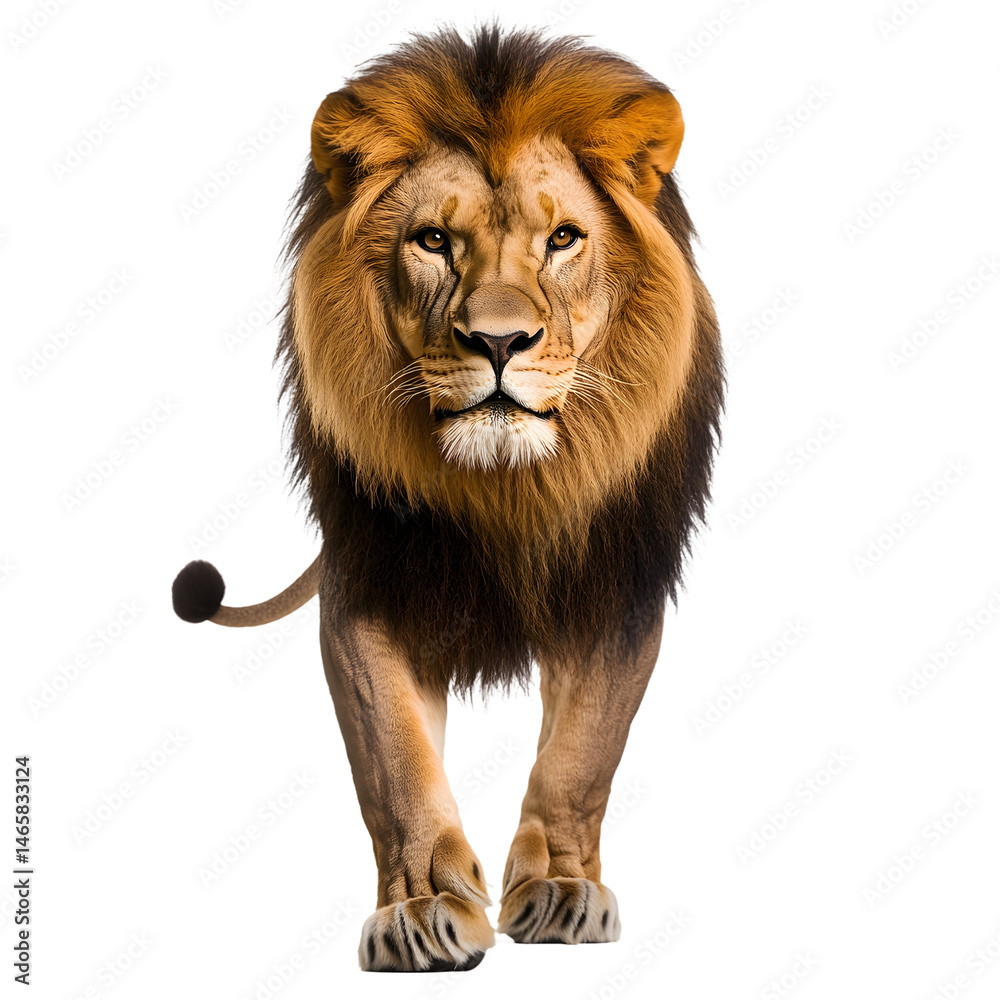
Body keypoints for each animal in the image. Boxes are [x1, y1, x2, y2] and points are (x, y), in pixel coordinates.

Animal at [172, 25, 723, 973]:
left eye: (564, 238)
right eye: (433, 240)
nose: (499, 341)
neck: (504, 490)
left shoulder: (618, 588)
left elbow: (581, 756)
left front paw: (562, 890)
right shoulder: (368, 586)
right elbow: (394, 763)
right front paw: (423, 908)